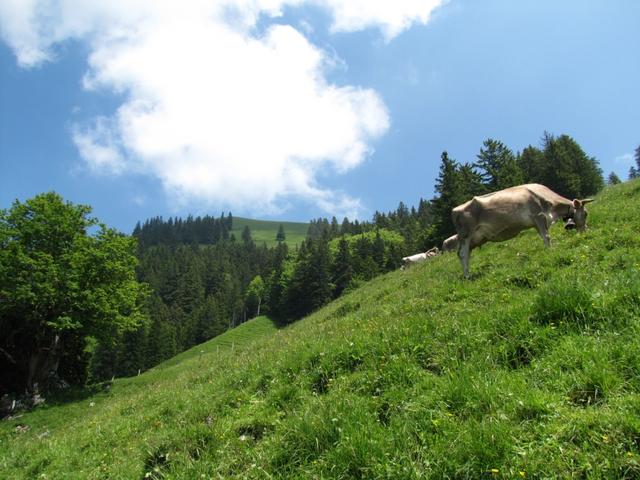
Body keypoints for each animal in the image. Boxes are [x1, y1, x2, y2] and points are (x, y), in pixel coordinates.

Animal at [450, 185, 596, 282]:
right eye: (585, 213)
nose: (585, 232)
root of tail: (455, 210)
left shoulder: (537, 223)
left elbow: (544, 237)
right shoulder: (539, 216)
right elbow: (547, 237)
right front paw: (551, 251)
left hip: (475, 238)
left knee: (465, 254)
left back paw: (468, 273)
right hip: (466, 234)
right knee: (462, 254)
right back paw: (467, 276)